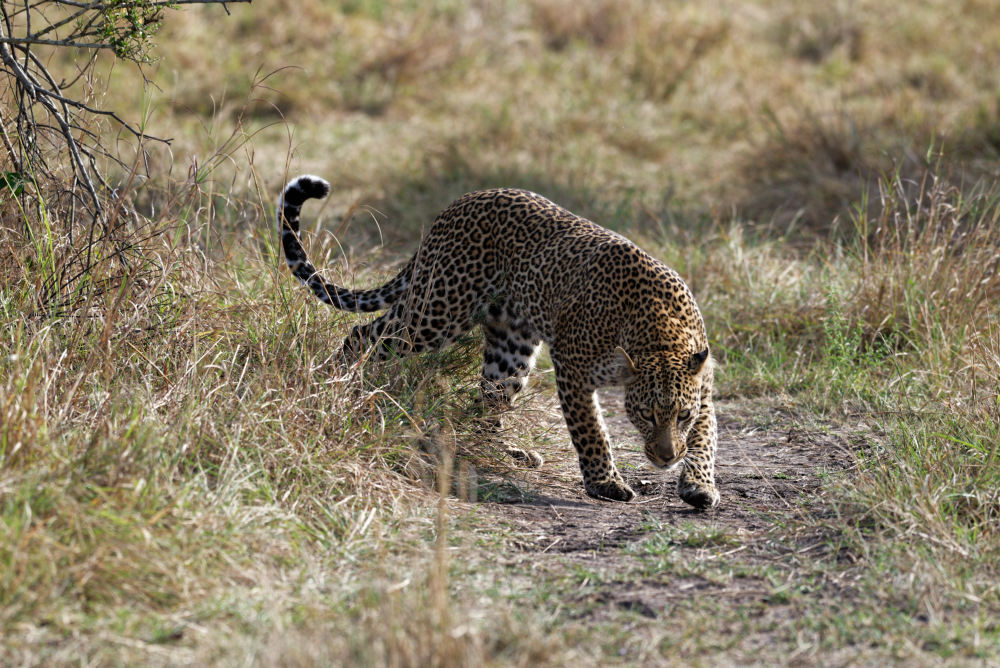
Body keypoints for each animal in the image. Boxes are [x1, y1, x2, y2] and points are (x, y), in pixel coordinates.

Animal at [278, 175, 724, 508]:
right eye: (646, 414)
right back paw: (337, 388)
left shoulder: (702, 385)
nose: (666, 457)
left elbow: (705, 439)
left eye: (682, 415)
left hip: (511, 348)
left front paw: (699, 485)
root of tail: (456, 204)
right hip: (435, 310)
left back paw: (509, 452)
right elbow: (591, 432)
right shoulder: (573, 368)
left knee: (488, 403)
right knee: (362, 336)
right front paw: (606, 483)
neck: (660, 336)